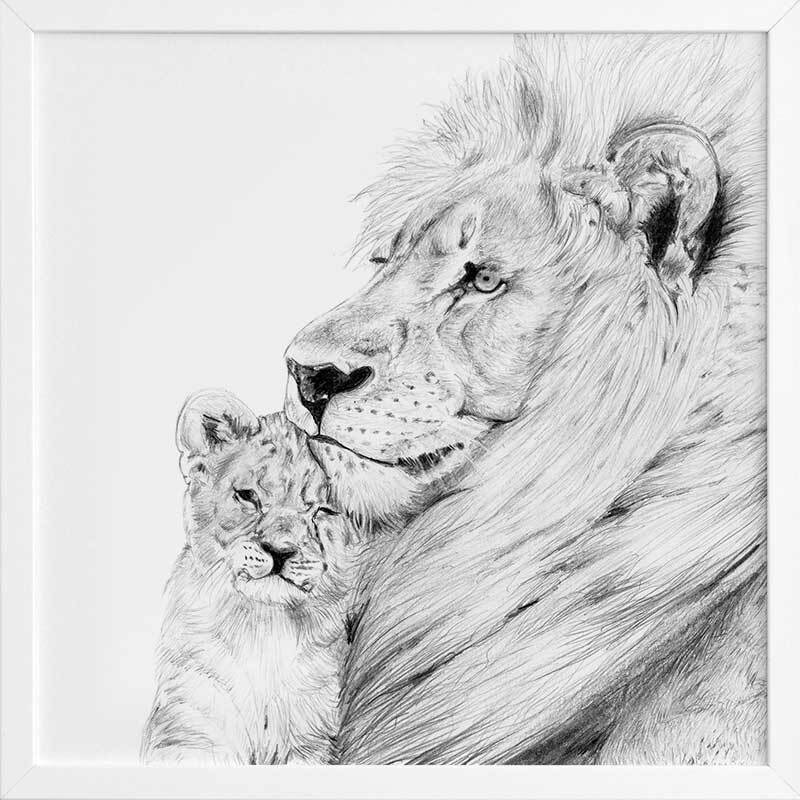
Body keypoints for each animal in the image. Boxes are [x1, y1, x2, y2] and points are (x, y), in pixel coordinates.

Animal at [142, 392, 356, 765]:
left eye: (323, 511)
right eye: (248, 495)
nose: (280, 551)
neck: (264, 629)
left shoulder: (313, 738)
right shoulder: (190, 725)